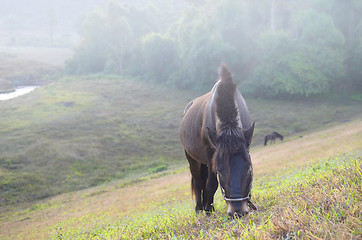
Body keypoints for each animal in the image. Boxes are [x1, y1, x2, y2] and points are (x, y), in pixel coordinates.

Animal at [180, 63, 256, 218]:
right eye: (220, 172)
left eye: (248, 169)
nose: (237, 212)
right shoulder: (211, 154)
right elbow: (212, 183)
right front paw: (208, 209)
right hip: (192, 158)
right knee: (198, 182)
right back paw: (200, 208)